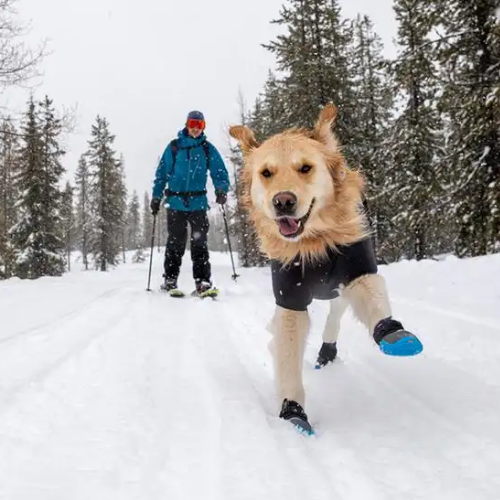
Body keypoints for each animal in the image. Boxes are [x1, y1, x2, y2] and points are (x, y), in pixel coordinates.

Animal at [229, 102, 422, 434]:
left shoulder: (357, 269)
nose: (283, 201)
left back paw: (327, 351)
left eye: (305, 167)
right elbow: (288, 355)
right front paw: (293, 411)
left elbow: (374, 302)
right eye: (266, 173)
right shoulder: (290, 296)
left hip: (337, 290)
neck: (313, 243)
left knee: (335, 317)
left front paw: (393, 333)